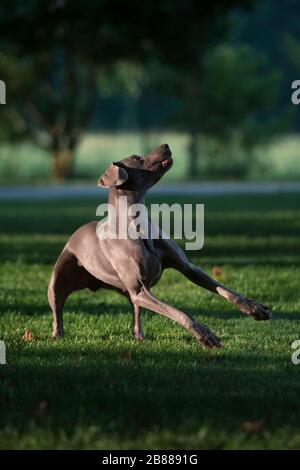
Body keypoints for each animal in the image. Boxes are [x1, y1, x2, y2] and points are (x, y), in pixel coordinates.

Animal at [47, 144, 272, 348]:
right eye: (136, 158)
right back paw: (57, 335)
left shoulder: (187, 268)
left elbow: (224, 289)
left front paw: (255, 308)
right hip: (59, 279)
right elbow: (179, 312)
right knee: (57, 306)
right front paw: (204, 334)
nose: (166, 144)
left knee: (136, 313)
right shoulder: (141, 290)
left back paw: (139, 336)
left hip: (128, 293)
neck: (137, 226)